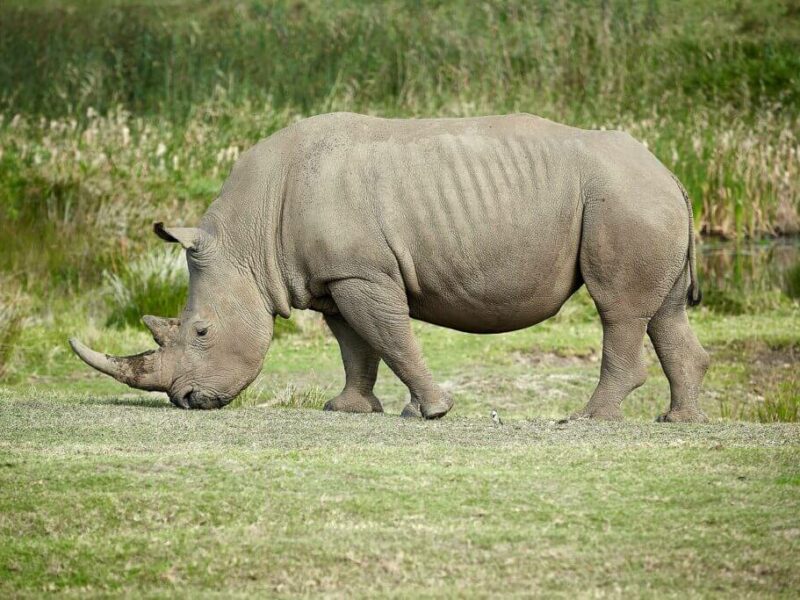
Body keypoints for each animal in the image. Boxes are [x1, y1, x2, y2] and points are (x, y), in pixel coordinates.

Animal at [70, 112, 709, 422]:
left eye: (201, 331)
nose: (186, 401)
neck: (246, 241)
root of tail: (669, 170)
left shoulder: (361, 273)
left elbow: (391, 337)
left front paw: (432, 411)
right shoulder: (334, 278)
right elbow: (356, 346)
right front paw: (348, 410)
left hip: (623, 198)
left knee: (617, 308)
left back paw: (588, 420)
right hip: (641, 196)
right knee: (665, 311)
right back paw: (678, 421)